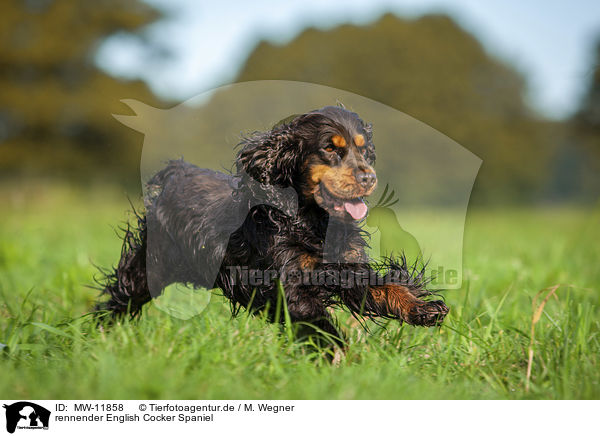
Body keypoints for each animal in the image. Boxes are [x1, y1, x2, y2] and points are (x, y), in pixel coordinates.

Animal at [96, 106, 448, 344]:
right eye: (329, 148)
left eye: (364, 150)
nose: (368, 178)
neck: (312, 221)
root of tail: (177, 173)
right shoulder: (289, 283)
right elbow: (319, 325)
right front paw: (337, 357)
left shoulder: (346, 268)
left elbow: (385, 287)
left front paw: (423, 308)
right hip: (149, 267)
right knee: (119, 298)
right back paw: (98, 336)